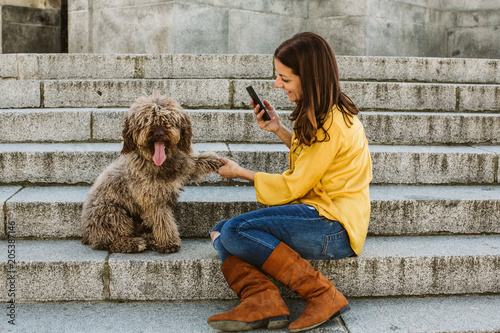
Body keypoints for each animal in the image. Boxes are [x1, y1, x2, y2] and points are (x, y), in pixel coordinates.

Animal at [81, 93, 222, 252]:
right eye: (146, 121)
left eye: (168, 120)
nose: (159, 133)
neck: (160, 163)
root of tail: (87, 235)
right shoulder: (152, 199)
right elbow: (163, 221)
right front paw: (169, 243)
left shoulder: (182, 163)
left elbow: (194, 161)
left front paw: (216, 160)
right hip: (111, 213)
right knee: (113, 240)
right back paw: (134, 243)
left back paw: (150, 239)